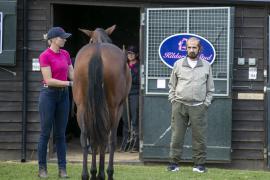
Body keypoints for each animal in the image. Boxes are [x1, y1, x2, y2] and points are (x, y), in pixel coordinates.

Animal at [71, 25, 131, 180]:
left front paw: (93, 172)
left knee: (87, 138)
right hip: (112, 109)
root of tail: (97, 53)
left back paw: (87, 174)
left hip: (82, 108)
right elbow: (110, 140)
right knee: (107, 139)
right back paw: (105, 174)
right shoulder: (118, 108)